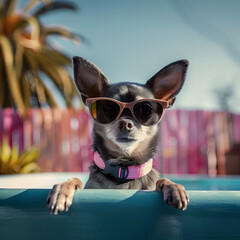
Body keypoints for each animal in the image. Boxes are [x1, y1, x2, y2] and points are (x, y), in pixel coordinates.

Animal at [47, 56, 189, 216]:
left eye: (146, 110)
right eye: (109, 108)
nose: (125, 123)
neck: (123, 169)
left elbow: (162, 180)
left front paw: (175, 187)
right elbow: (76, 179)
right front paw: (62, 189)